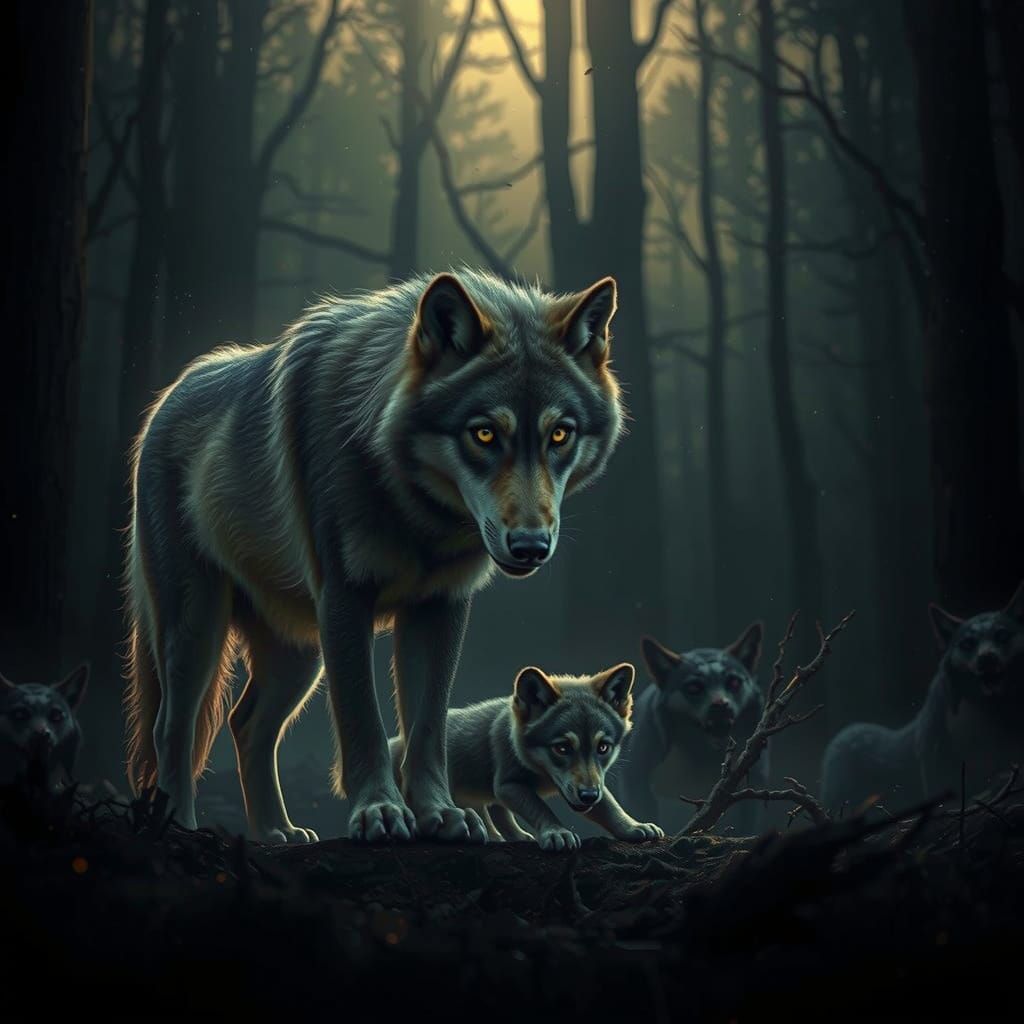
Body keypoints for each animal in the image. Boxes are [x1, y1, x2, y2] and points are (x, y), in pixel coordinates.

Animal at [124, 269, 624, 844]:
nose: (530, 546)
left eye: (559, 434)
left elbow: (427, 724)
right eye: (484, 434)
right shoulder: (346, 598)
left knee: (247, 726)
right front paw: (380, 812)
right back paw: (178, 825)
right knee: (172, 726)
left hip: (300, 651)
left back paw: (276, 832)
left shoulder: (441, 604)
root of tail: (168, 395)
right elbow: (363, 719)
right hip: (198, 628)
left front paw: (440, 813)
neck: (417, 514)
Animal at [385, 662, 663, 850]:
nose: (588, 796)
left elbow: (610, 807)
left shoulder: (593, 782)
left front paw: (634, 827)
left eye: (603, 748)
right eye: (562, 748)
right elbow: (540, 809)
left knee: (495, 813)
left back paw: (507, 837)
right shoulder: (509, 785)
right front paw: (556, 832)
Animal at [617, 623, 767, 835]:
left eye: (734, 682)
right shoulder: (636, 779)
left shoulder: (754, 781)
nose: (720, 705)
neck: (703, 752)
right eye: (694, 687)